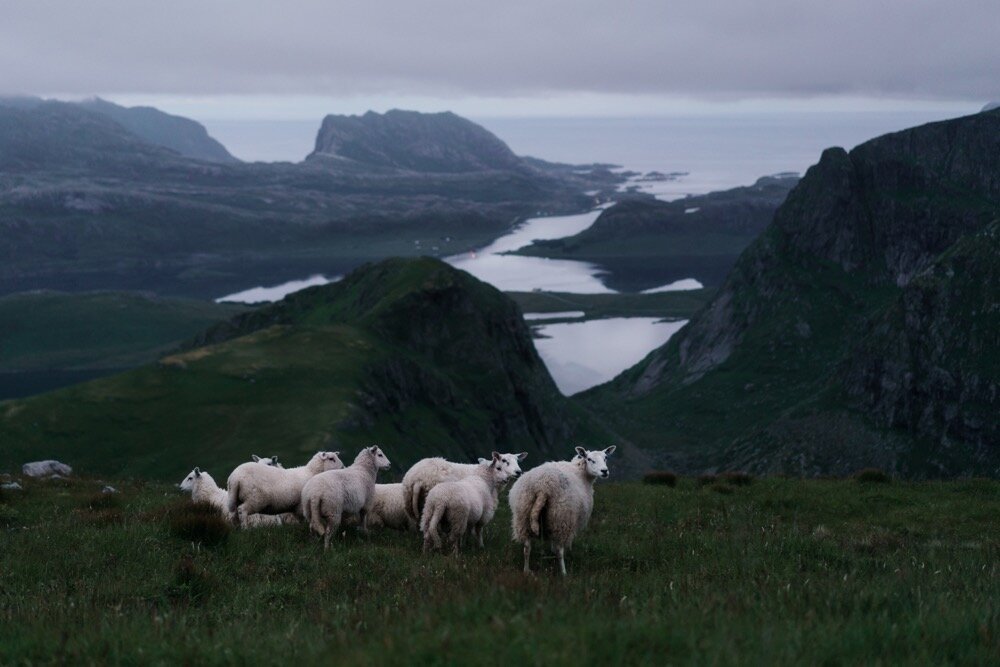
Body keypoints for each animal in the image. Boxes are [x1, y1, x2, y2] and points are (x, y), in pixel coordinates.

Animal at [512, 446, 612, 576]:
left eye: (605, 458)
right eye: (589, 459)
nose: (604, 471)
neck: (581, 473)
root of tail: (543, 486)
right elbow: (557, 548)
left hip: (523, 516)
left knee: (527, 547)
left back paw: (526, 571)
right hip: (561, 518)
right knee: (560, 550)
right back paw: (564, 573)